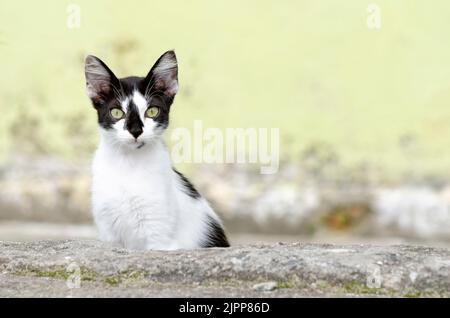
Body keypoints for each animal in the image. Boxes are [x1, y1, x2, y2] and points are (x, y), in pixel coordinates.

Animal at [85, 50, 230, 251]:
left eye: (152, 111)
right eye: (117, 113)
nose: (136, 130)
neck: (128, 164)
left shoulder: (160, 239)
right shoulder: (108, 232)